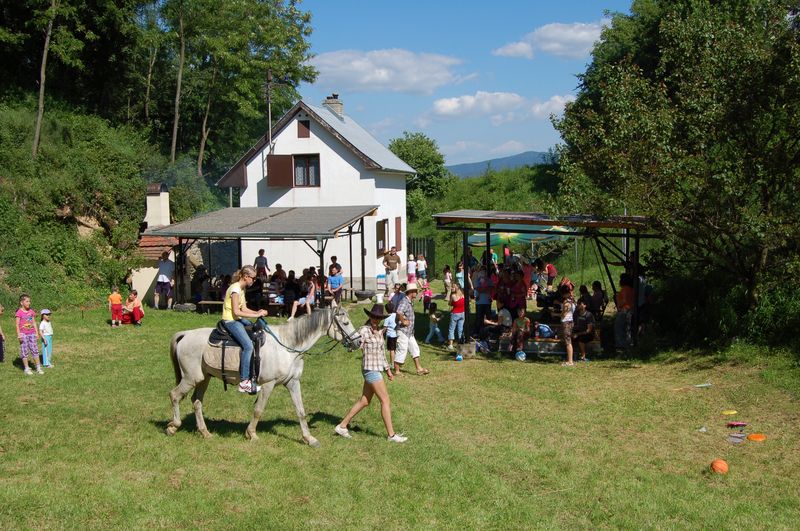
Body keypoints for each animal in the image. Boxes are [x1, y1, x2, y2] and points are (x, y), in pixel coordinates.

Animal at [166, 306, 361, 447]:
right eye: (345, 322)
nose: (358, 341)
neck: (287, 345)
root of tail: (185, 334)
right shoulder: (268, 384)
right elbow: (259, 409)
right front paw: (251, 434)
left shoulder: (293, 382)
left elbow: (301, 411)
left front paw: (309, 438)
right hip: (191, 378)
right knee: (174, 395)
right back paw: (173, 427)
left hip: (203, 379)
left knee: (196, 402)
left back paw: (204, 432)